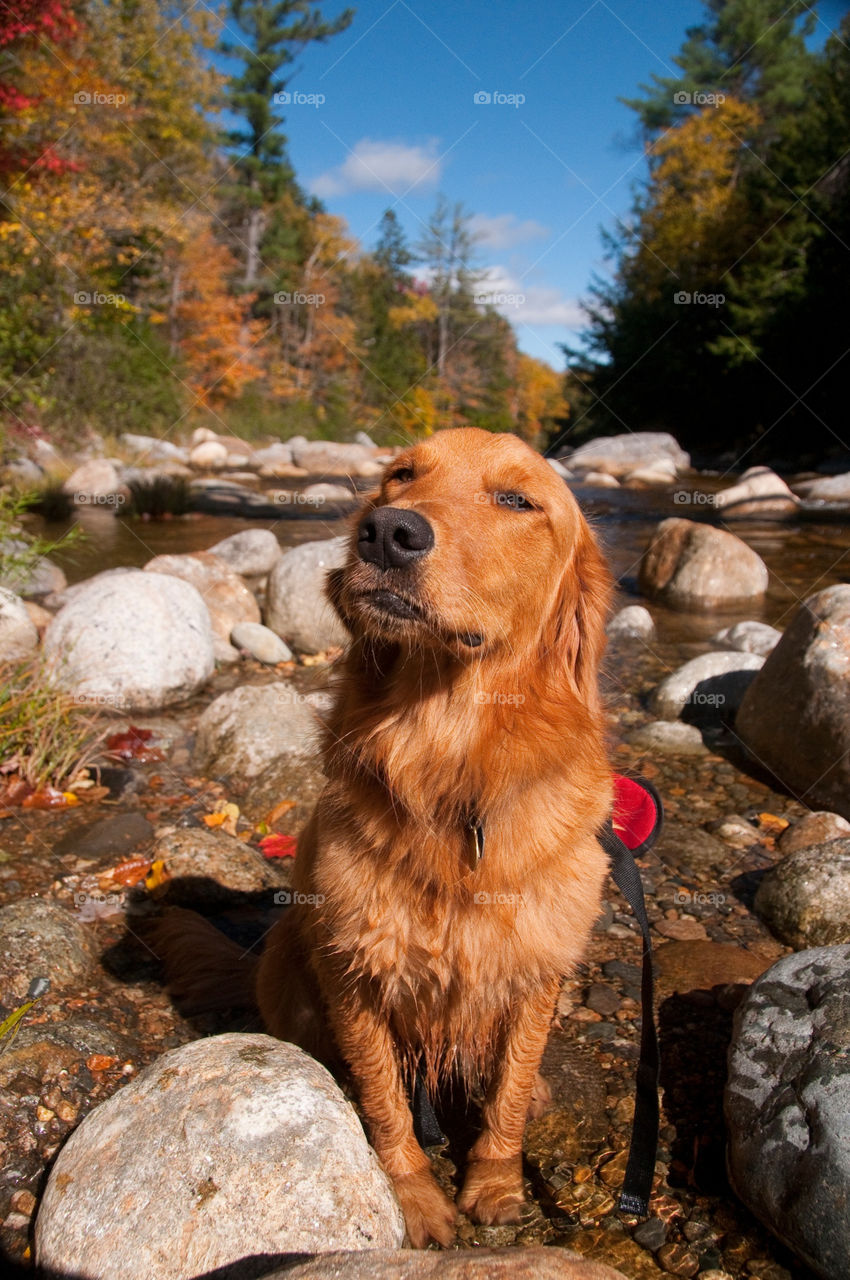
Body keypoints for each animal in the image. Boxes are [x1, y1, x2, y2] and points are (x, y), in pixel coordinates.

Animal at [157, 432, 611, 1249]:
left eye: (518, 500)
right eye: (401, 474)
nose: (389, 532)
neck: (449, 767)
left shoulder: (538, 970)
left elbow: (511, 1087)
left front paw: (495, 1180)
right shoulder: (354, 974)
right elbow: (385, 1099)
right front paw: (415, 1197)